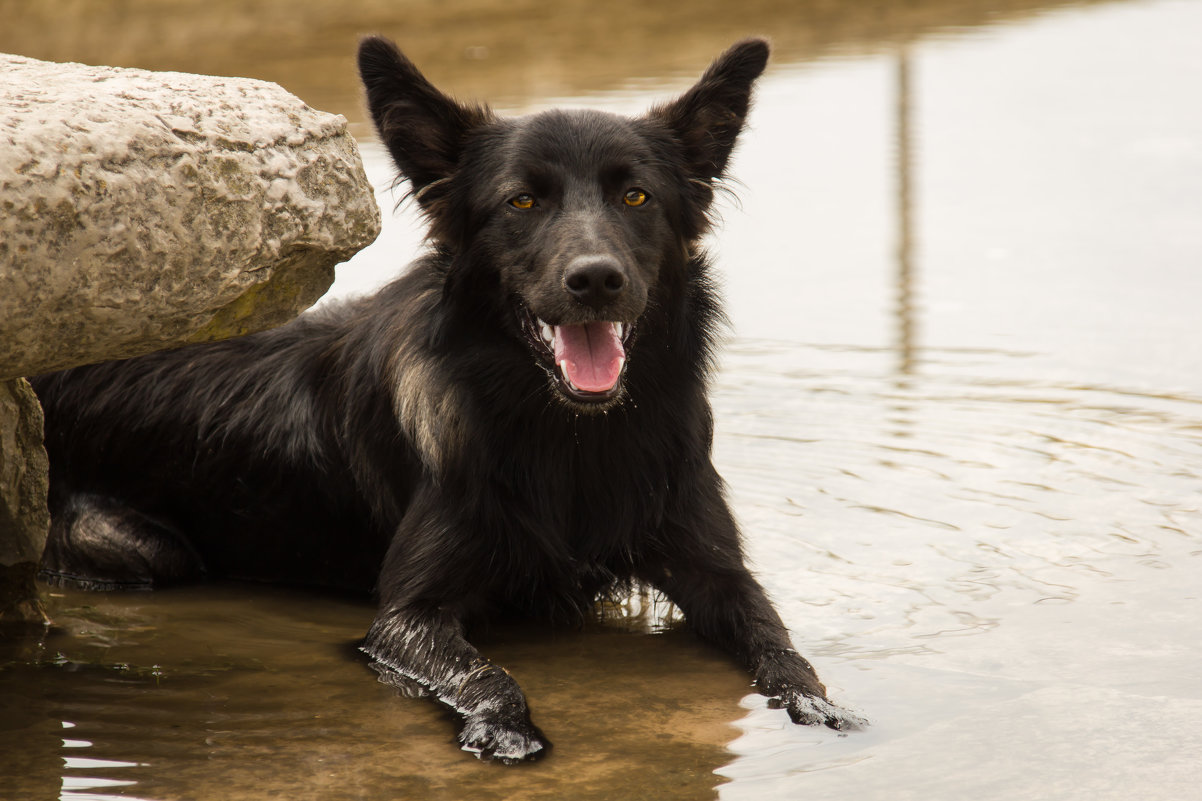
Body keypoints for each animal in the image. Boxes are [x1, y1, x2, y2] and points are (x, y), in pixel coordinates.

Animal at [35, 37, 865, 760]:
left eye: (637, 195)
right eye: (521, 202)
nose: (595, 280)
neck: (570, 437)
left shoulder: (716, 569)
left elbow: (779, 640)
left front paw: (817, 702)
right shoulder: (407, 619)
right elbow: (484, 672)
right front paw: (505, 730)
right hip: (136, 544)